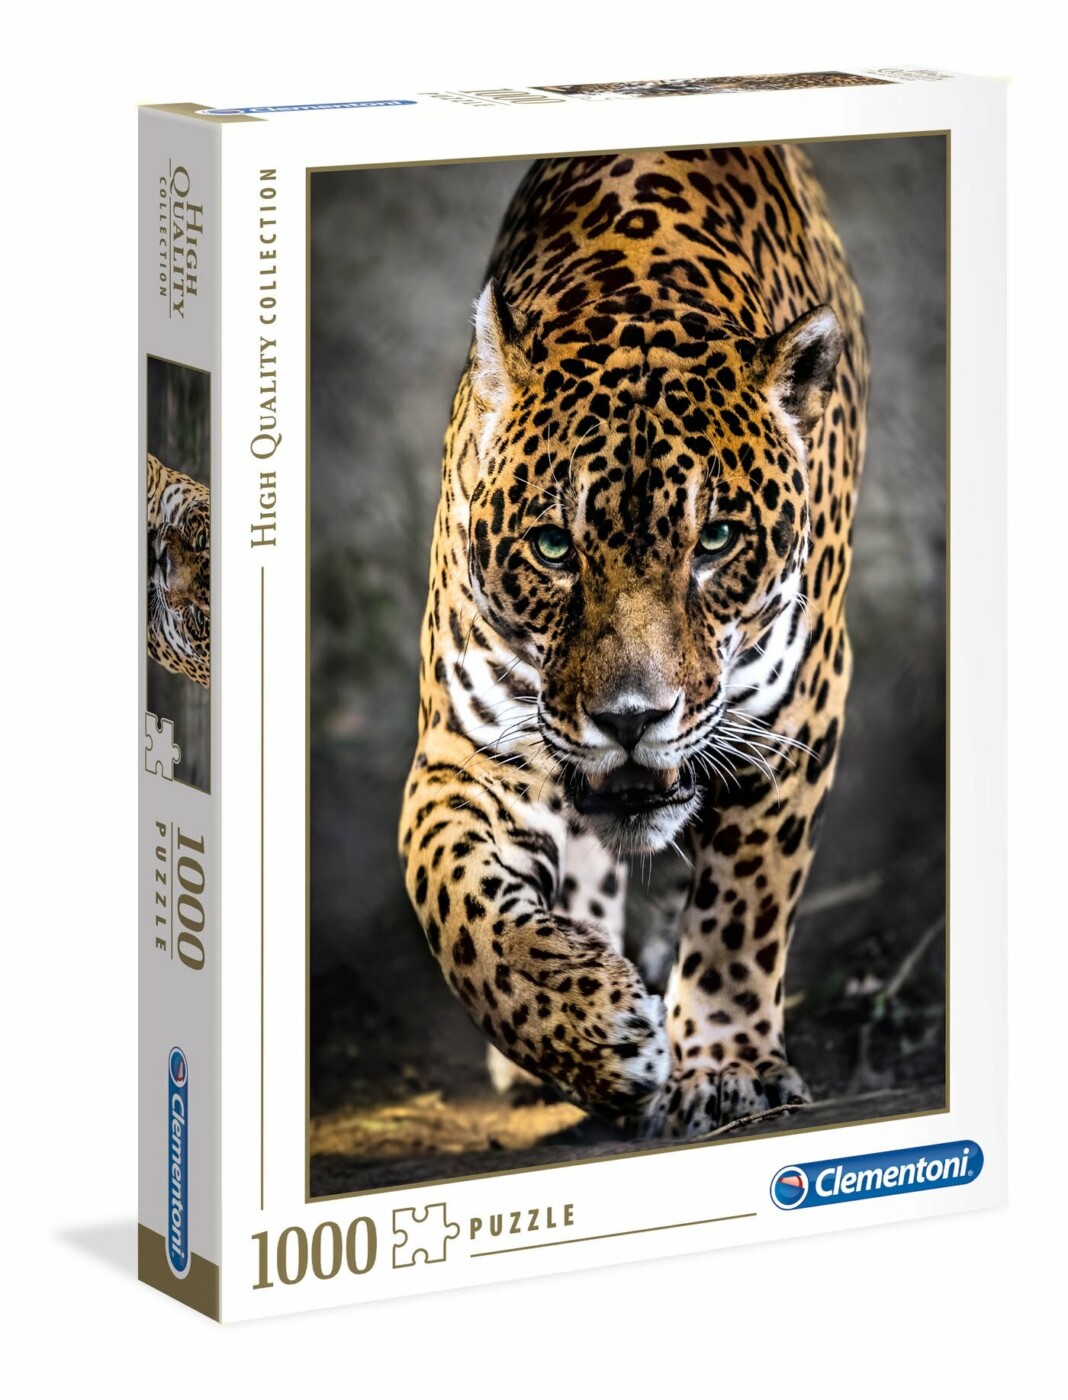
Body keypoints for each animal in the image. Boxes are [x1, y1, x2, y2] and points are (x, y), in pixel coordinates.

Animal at [399, 144, 868, 1138]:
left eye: (716, 541)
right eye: (552, 547)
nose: (629, 719)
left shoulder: (796, 715)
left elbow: (743, 906)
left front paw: (724, 1067)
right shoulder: (466, 749)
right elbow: (454, 903)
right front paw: (588, 1029)